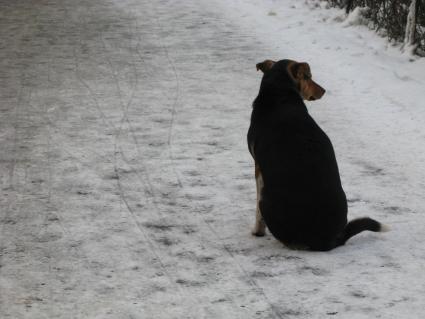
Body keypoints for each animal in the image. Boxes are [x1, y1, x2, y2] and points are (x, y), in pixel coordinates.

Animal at [245, 58, 388, 251]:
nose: (324, 90)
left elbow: (257, 214)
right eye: (309, 77)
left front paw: (257, 231)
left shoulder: (258, 169)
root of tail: (328, 240)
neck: (280, 93)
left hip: (266, 199)